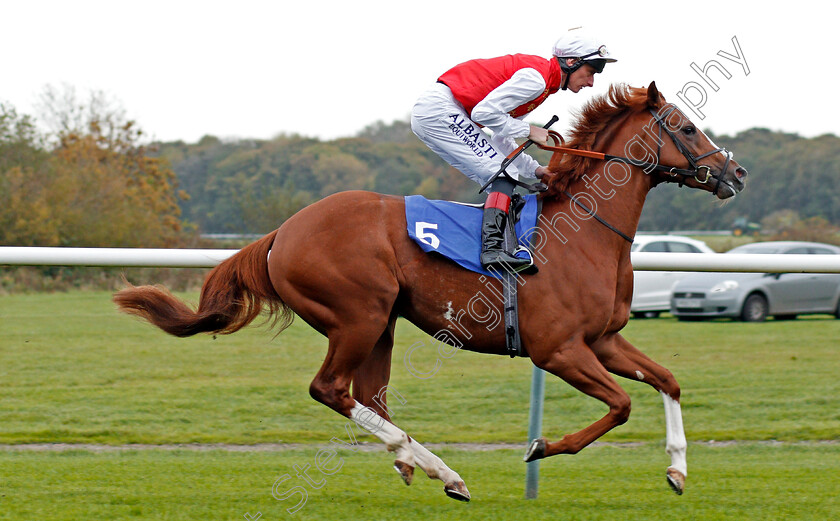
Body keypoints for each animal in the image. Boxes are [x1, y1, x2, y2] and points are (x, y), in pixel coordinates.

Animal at [113, 83, 748, 502]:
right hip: (358, 316)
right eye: (685, 127)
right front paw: (540, 448)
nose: (734, 173)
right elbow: (619, 406)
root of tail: (281, 233)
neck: (586, 233)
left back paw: (415, 463)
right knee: (331, 390)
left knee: (367, 397)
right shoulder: (558, 350)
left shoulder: (604, 340)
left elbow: (667, 381)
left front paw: (678, 470)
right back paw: (445, 471)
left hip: (382, 324)